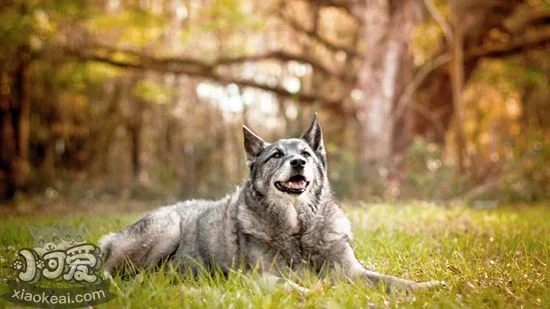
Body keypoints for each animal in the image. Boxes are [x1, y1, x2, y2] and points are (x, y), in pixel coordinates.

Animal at [100, 115, 444, 292]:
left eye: (305, 154)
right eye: (276, 154)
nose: (297, 163)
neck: (298, 230)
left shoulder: (352, 272)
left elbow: (391, 280)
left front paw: (427, 286)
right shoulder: (258, 278)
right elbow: (293, 286)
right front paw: (315, 292)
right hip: (167, 228)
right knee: (113, 270)